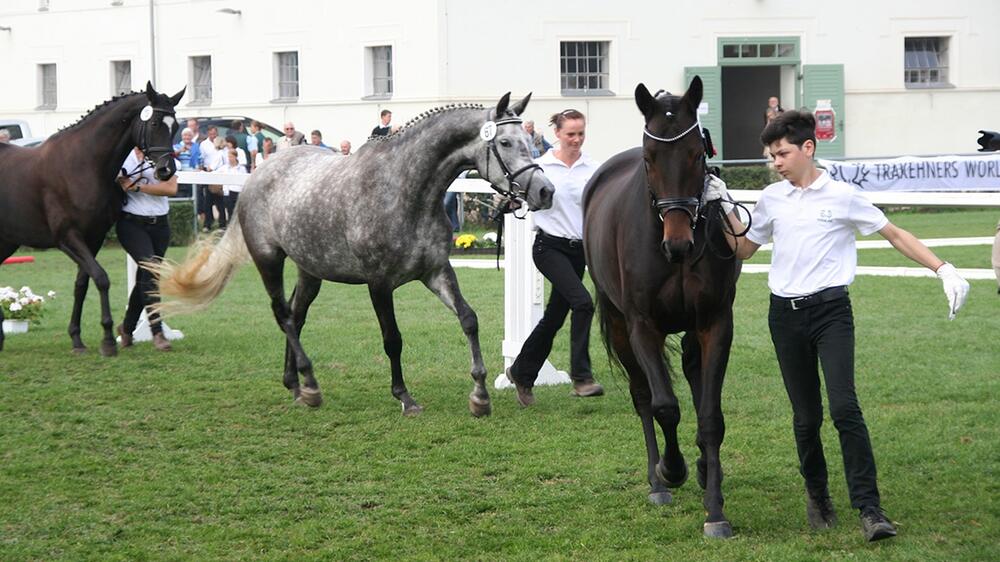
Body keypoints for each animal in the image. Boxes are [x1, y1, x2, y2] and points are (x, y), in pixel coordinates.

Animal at [0, 82, 184, 354]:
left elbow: (82, 284)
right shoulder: (68, 237)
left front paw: (77, 339)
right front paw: (107, 340)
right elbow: (101, 278)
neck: (83, 164)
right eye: (153, 124)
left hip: (7, 241)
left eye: (176, 125)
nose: (166, 171)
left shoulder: (94, 237)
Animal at [149, 93, 556, 416]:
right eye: (505, 142)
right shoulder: (379, 284)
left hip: (309, 270)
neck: (405, 190)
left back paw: (295, 384)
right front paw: (405, 397)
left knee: (296, 316)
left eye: (529, 140)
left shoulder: (436, 271)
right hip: (269, 260)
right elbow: (393, 339)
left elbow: (469, 320)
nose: (545, 191)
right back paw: (311, 385)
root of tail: (256, 175)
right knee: (283, 315)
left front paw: (480, 394)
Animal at [584, 76, 740, 536]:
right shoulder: (642, 327)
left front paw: (715, 510)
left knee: (691, 372)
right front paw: (671, 469)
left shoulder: (714, 323)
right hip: (619, 326)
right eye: (650, 159)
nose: (678, 244)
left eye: (696, 154)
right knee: (641, 396)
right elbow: (664, 407)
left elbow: (710, 415)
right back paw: (657, 481)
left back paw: (704, 467)